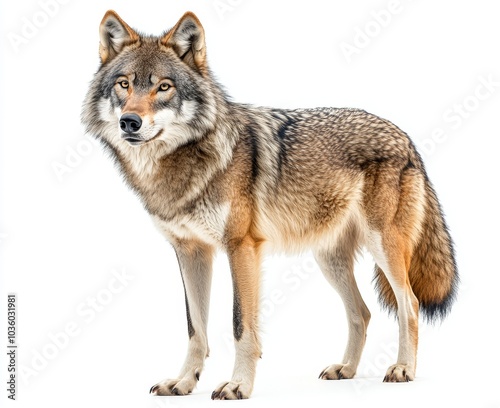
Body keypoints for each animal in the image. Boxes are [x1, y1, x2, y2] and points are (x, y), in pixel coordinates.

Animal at [81, 10, 458, 402]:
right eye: (124, 84)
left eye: (164, 87)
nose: (129, 122)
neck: (182, 165)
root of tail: (406, 137)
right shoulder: (190, 251)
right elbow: (194, 329)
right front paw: (183, 382)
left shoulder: (241, 248)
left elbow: (240, 326)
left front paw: (238, 385)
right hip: (329, 260)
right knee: (362, 313)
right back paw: (346, 369)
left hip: (383, 247)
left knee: (409, 303)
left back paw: (403, 368)